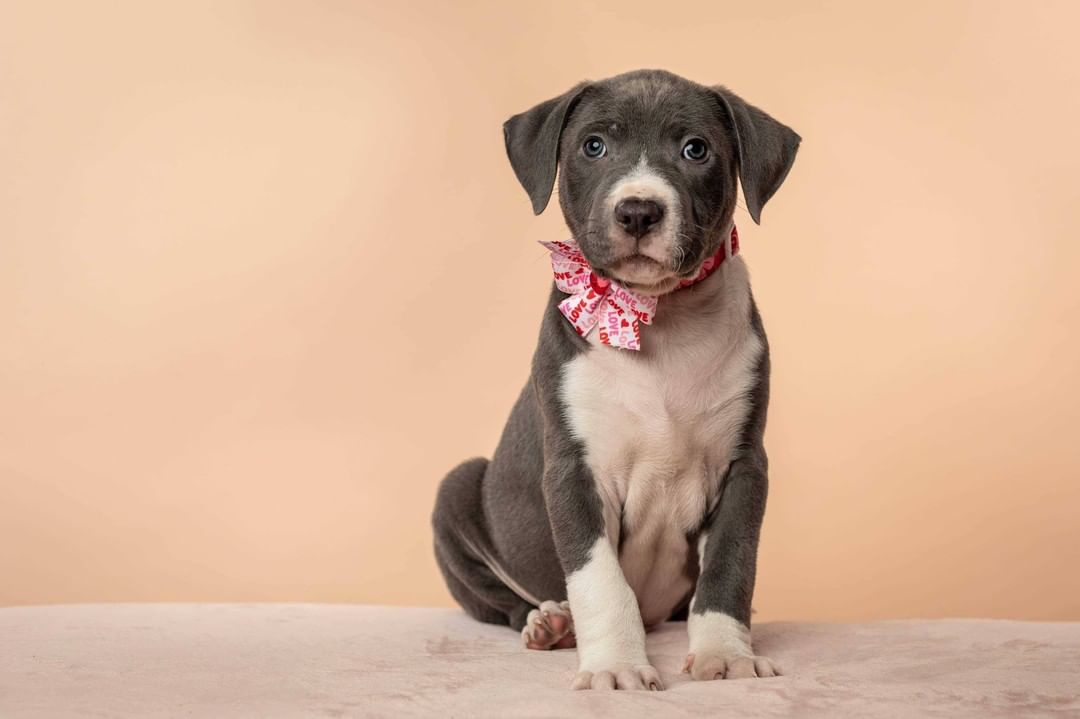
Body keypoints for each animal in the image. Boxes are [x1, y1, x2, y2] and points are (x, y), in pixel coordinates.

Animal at [434, 68, 799, 690]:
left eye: (695, 149)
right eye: (594, 146)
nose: (637, 212)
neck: (660, 319)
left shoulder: (744, 467)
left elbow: (730, 566)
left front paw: (726, 654)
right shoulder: (574, 471)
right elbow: (600, 583)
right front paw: (616, 668)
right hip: (456, 491)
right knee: (501, 602)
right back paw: (549, 624)